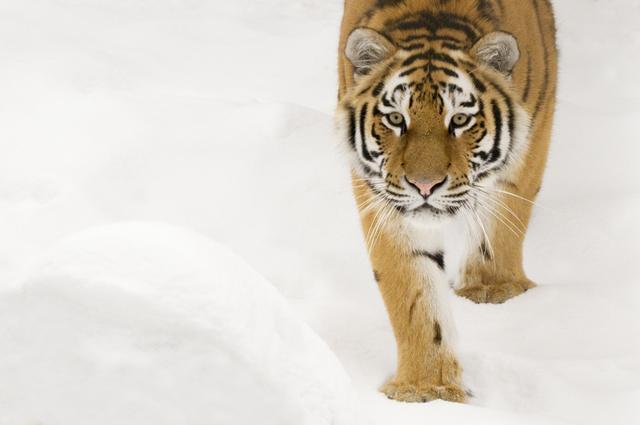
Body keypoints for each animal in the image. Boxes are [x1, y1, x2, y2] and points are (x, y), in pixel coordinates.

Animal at [338, 0, 556, 402]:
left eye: (460, 120)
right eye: (396, 118)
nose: (425, 186)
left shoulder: (534, 129)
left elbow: (505, 216)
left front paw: (492, 288)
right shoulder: (384, 199)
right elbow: (414, 291)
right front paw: (426, 389)